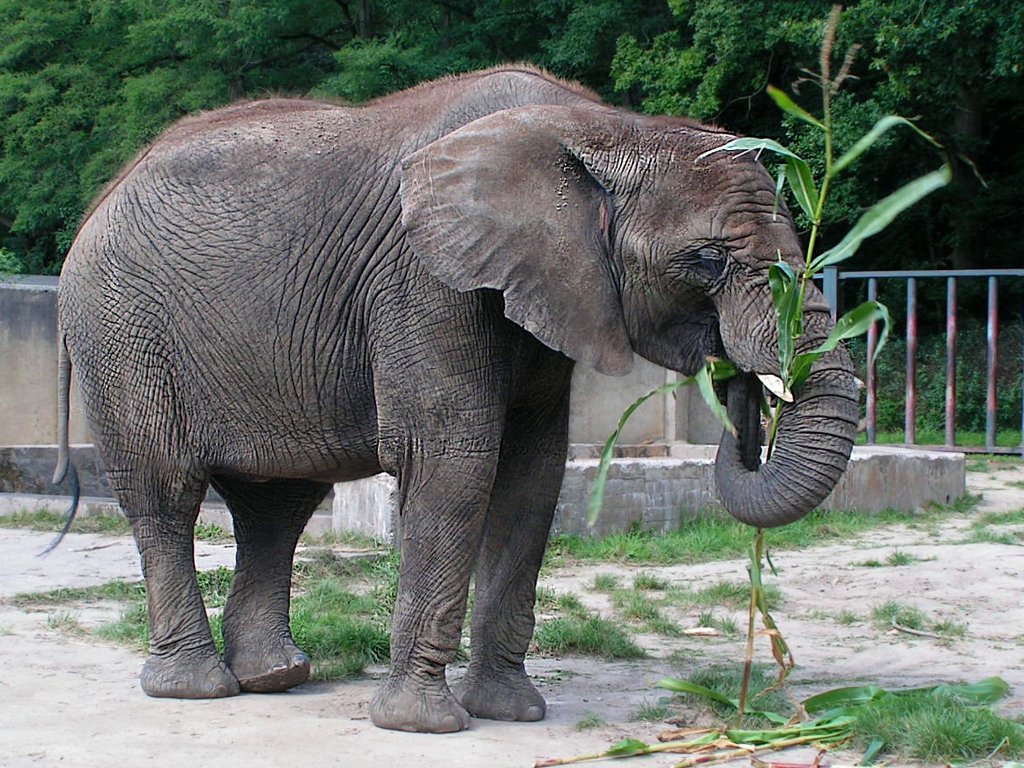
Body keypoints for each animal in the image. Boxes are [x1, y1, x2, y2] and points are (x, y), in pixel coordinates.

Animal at [54, 64, 856, 733]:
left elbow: (533, 474)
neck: (598, 127)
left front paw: (510, 712)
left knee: (277, 506)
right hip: (121, 330)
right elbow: (455, 464)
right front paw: (423, 726)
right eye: (709, 260)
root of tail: (98, 201)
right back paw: (197, 690)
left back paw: (276, 678)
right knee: (167, 492)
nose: (741, 383)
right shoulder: (427, 281)